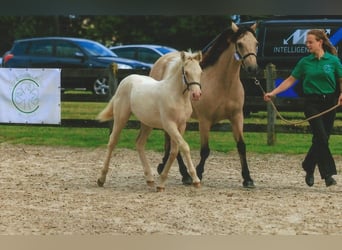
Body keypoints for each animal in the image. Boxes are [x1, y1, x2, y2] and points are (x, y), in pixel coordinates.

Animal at [96, 50, 203, 191]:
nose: (196, 95)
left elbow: (174, 151)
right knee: (112, 141)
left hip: (147, 123)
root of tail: (126, 80)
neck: (177, 96)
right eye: (186, 72)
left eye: (200, 72)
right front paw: (196, 180)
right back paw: (101, 179)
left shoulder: (181, 125)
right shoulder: (169, 125)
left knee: (139, 143)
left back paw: (150, 179)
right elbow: (184, 147)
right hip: (121, 117)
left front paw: (161, 183)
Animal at [151, 22, 258, 188]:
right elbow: (205, 150)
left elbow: (241, 145)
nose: (253, 69)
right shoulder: (205, 121)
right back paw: (184, 175)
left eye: (256, 43)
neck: (223, 84)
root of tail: (161, 61)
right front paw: (198, 174)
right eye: (240, 44)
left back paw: (166, 166)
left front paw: (248, 179)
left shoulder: (237, 117)